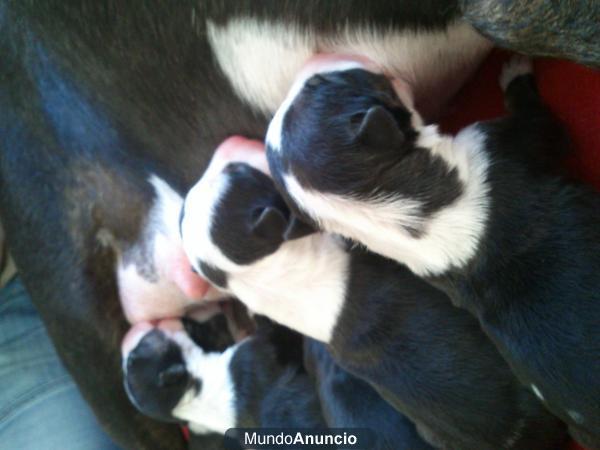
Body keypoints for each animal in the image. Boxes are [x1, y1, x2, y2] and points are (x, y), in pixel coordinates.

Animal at [266, 54, 600, 448]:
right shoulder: (512, 140)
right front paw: (514, 69)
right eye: (326, 84)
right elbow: (536, 114)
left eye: (313, 85)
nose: (315, 57)